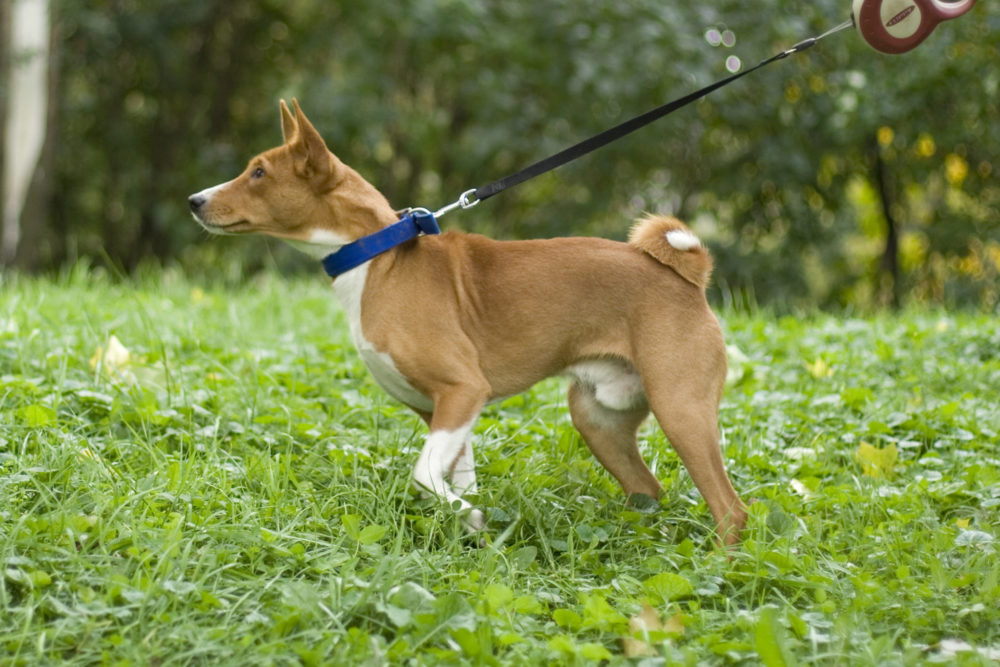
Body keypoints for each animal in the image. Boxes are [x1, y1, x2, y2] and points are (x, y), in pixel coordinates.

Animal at [189, 100, 752, 548]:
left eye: (259, 173)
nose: (194, 200)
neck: (378, 260)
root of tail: (686, 278)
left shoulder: (462, 390)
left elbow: (422, 476)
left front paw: (473, 520)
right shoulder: (444, 411)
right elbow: (455, 481)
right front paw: (473, 534)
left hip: (680, 410)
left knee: (731, 510)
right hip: (599, 420)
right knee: (650, 490)